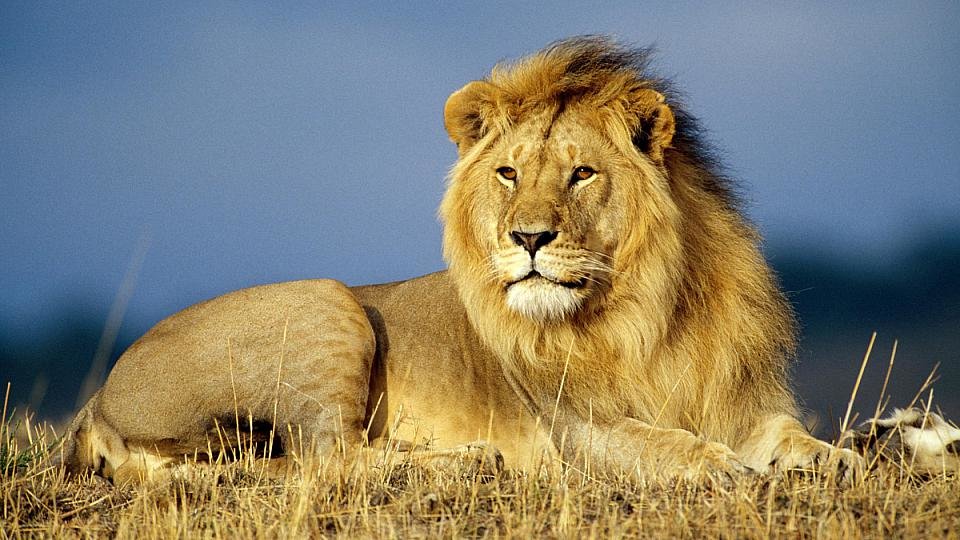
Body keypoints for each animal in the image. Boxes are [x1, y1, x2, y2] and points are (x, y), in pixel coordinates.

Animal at [61, 37, 862, 484]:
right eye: (508, 174)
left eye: (581, 174)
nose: (529, 238)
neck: (648, 310)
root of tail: (97, 400)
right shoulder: (575, 430)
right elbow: (658, 443)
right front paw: (717, 465)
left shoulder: (738, 399)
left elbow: (787, 434)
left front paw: (838, 458)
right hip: (327, 301)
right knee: (326, 458)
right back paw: (470, 460)